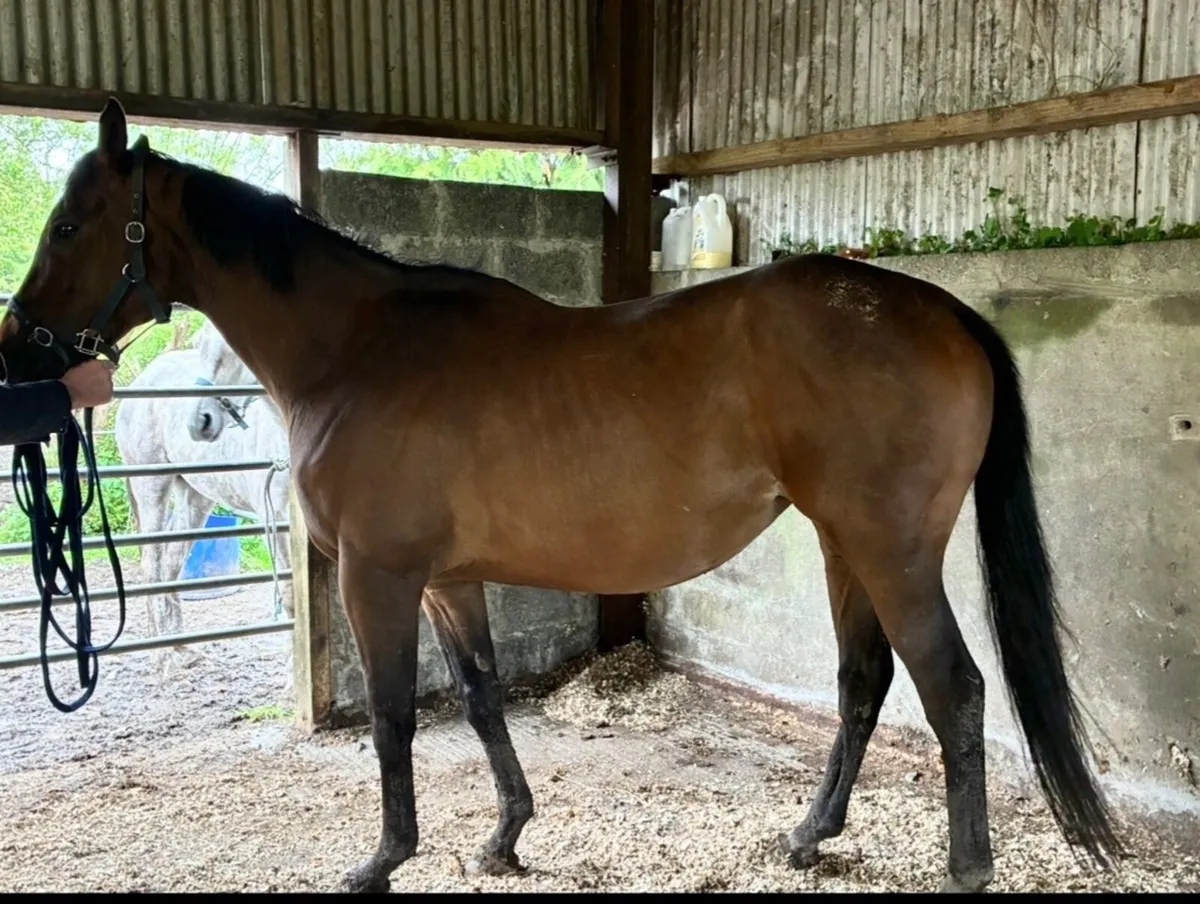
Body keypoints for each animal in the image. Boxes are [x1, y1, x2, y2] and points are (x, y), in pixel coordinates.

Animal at [115, 319, 291, 679]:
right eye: (199, 344)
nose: (199, 421)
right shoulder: (276, 522)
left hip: (194, 498)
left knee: (171, 563)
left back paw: (181, 649)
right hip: (152, 488)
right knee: (152, 566)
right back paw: (163, 658)